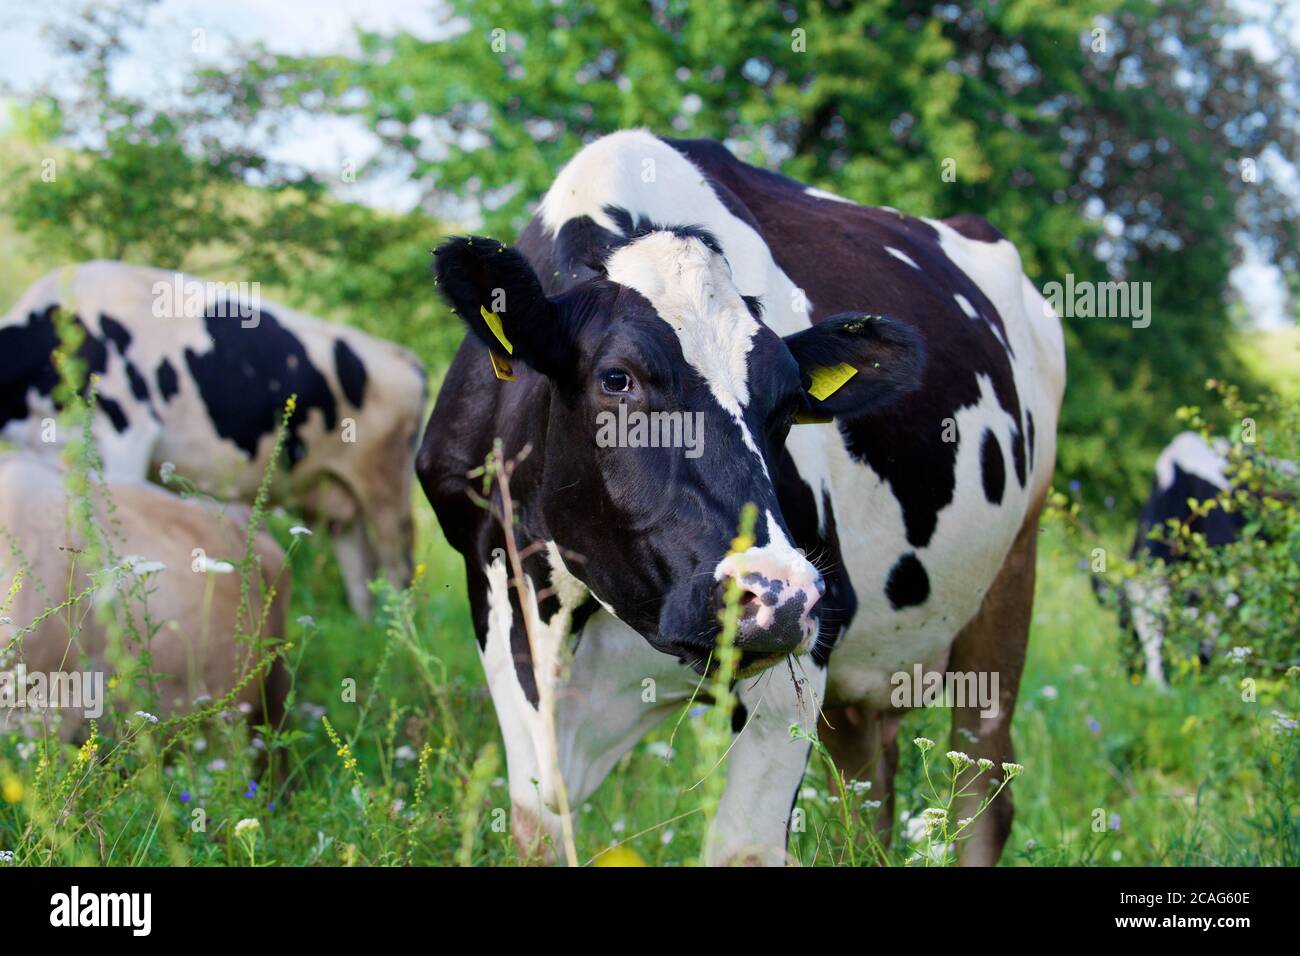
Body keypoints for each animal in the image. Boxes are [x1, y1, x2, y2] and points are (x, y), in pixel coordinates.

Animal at [0, 262, 427, 616]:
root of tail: (404, 357)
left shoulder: (129, 433)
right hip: (338, 498)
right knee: (361, 576)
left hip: (385, 489)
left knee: (397, 571)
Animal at [418, 130, 1066, 865]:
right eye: (617, 379)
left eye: (785, 407)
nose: (774, 596)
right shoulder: (503, 602)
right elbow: (539, 826)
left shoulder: (810, 642)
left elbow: (744, 847)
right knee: (866, 796)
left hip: (1011, 577)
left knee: (980, 793)